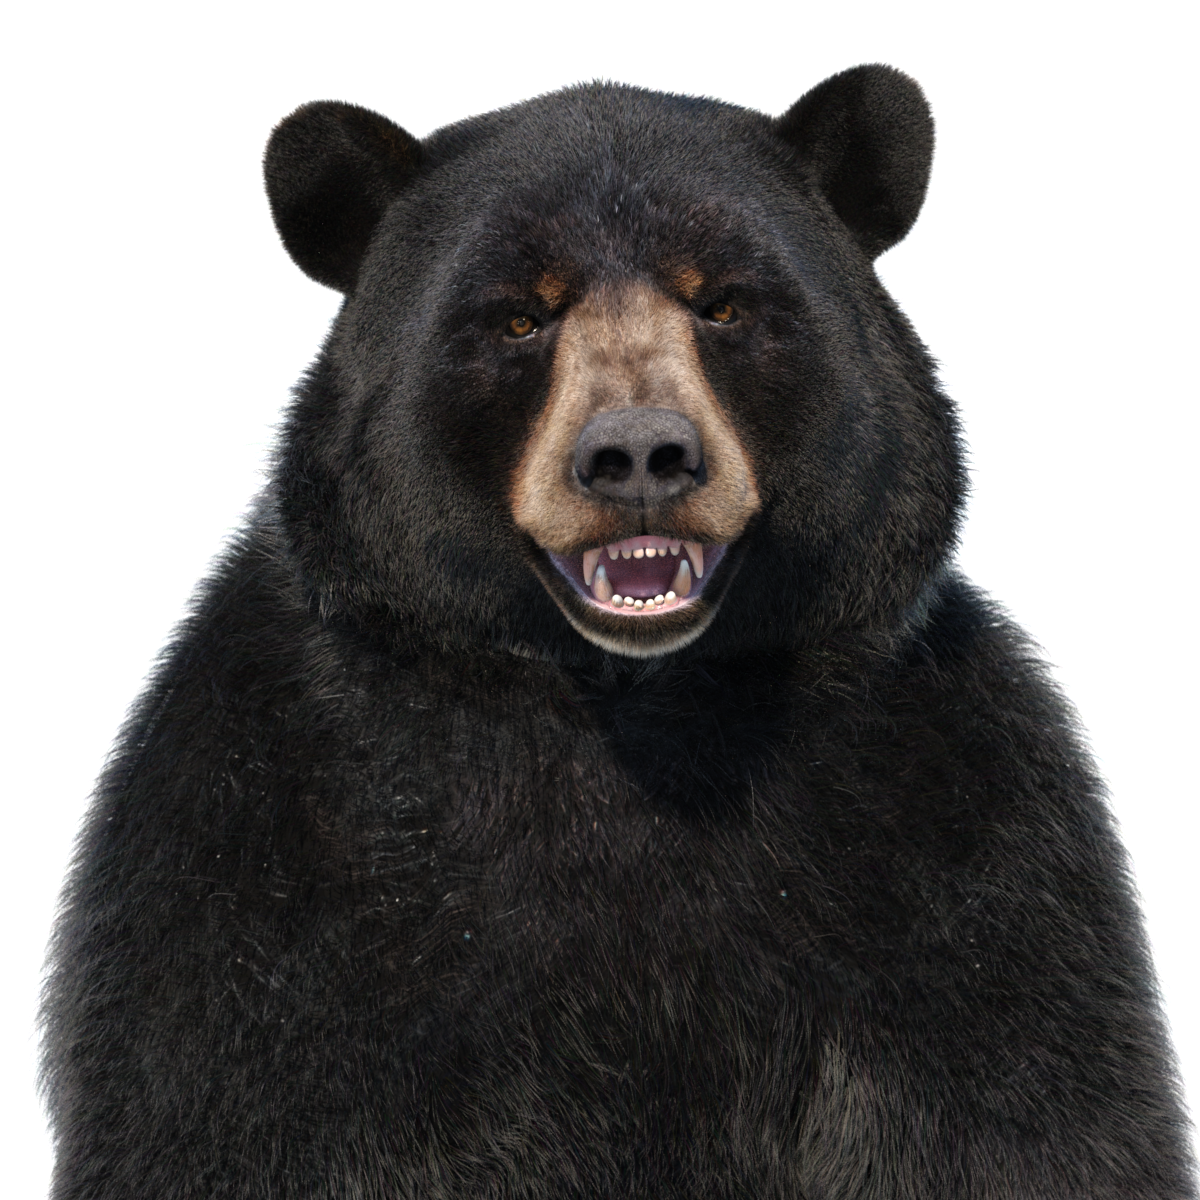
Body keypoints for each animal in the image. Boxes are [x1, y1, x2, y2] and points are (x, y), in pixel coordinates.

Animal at [28, 61, 1198, 1198]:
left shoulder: (954, 819)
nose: (639, 455)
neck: (630, 706)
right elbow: (231, 1094)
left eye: (723, 304)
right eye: (517, 317)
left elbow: (1024, 1096)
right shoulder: (266, 833)